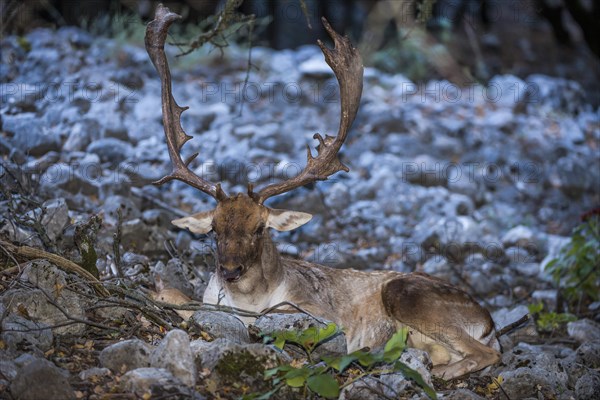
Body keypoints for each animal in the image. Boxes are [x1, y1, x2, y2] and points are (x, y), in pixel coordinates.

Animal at [146, 4, 502, 380]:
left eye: (260, 229)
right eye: (214, 229)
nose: (229, 270)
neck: (248, 299)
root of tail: (490, 324)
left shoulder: (321, 313)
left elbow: (269, 318)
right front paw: (161, 288)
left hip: (409, 294)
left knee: (487, 353)